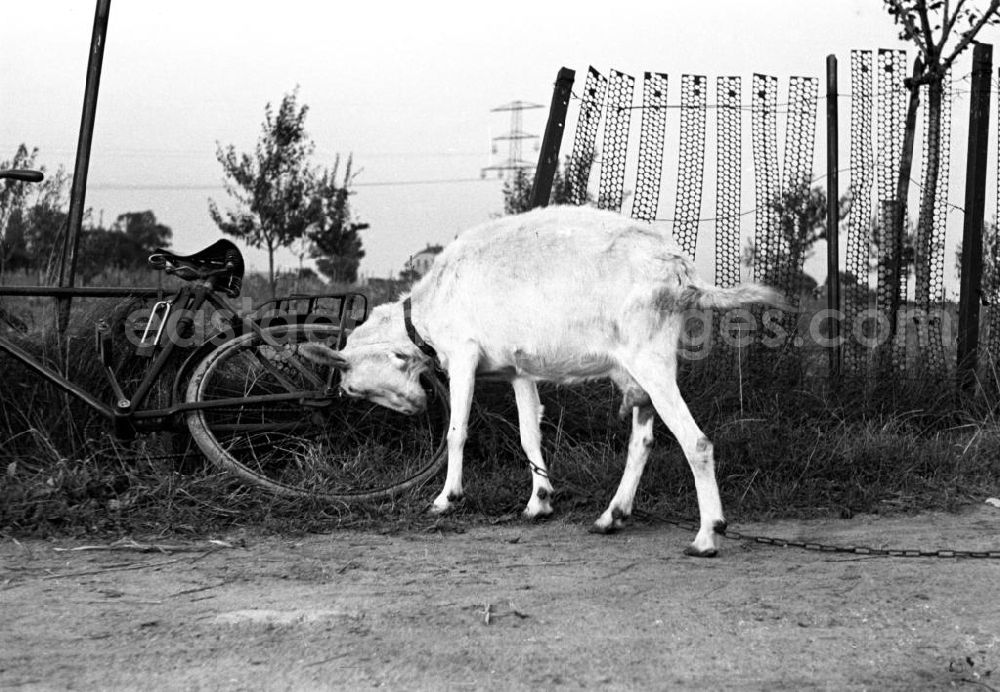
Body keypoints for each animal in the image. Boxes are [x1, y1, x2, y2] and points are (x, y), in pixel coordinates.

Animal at [300, 205, 784, 556]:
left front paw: (446, 498)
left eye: (350, 388)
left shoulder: (463, 355)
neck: (426, 310)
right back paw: (611, 516)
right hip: (635, 370)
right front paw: (540, 502)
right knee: (643, 439)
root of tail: (682, 271)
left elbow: (457, 431)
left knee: (696, 441)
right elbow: (529, 434)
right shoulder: (518, 370)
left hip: (650, 357)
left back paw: (706, 536)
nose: (418, 407)